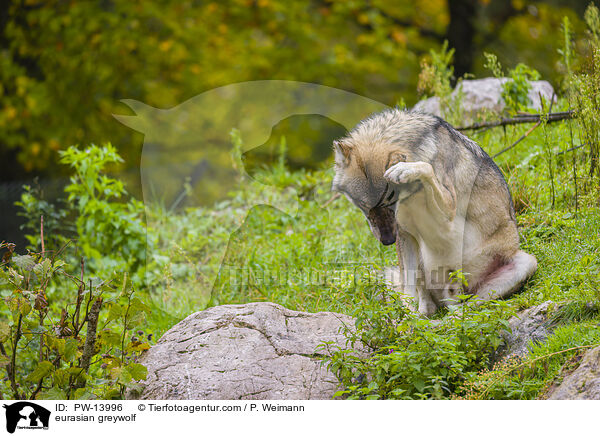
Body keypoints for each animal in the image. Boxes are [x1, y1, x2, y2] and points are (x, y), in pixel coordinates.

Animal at [330, 107, 536, 316]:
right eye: (363, 205)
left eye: (390, 201)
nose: (387, 241)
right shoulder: (404, 234)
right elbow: (408, 288)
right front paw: (408, 318)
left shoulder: (447, 213)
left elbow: (426, 167)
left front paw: (404, 169)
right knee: (432, 300)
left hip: (526, 263)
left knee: (466, 306)